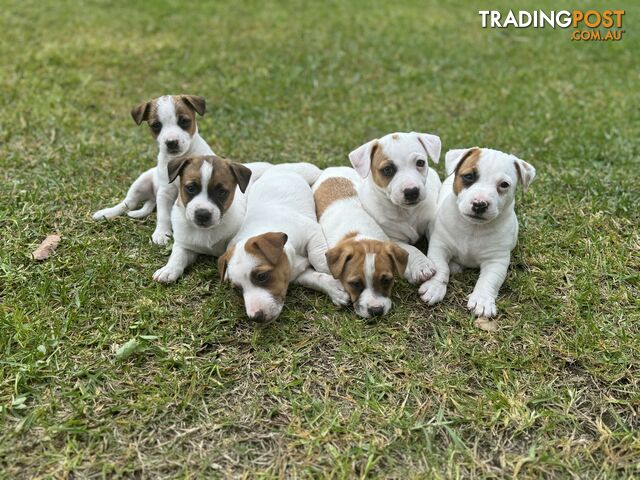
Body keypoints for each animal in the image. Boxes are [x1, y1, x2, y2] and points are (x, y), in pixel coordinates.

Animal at [93, 94, 212, 246]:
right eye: (156, 125)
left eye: (184, 121)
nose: (171, 142)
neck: (180, 158)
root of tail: (152, 198)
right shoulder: (165, 193)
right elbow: (163, 215)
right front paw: (161, 233)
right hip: (141, 182)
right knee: (128, 204)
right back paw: (106, 213)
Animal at [154, 156, 272, 284]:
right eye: (190, 188)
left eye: (222, 192)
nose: (202, 214)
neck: (206, 230)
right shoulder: (185, 245)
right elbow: (177, 256)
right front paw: (168, 270)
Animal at [220, 163, 350, 324]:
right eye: (237, 289)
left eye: (262, 276)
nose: (255, 318)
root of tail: (274, 167)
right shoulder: (295, 273)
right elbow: (314, 278)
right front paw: (333, 288)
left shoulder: (312, 231)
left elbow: (318, 260)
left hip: (309, 171)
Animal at [418, 148, 536, 316]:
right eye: (469, 176)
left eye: (504, 184)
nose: (480, 204)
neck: (473, 227)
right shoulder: (439, 246)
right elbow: (440, 267)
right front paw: (434, 287)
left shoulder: (496, 260)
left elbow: (489, 280)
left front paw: (482, 300)